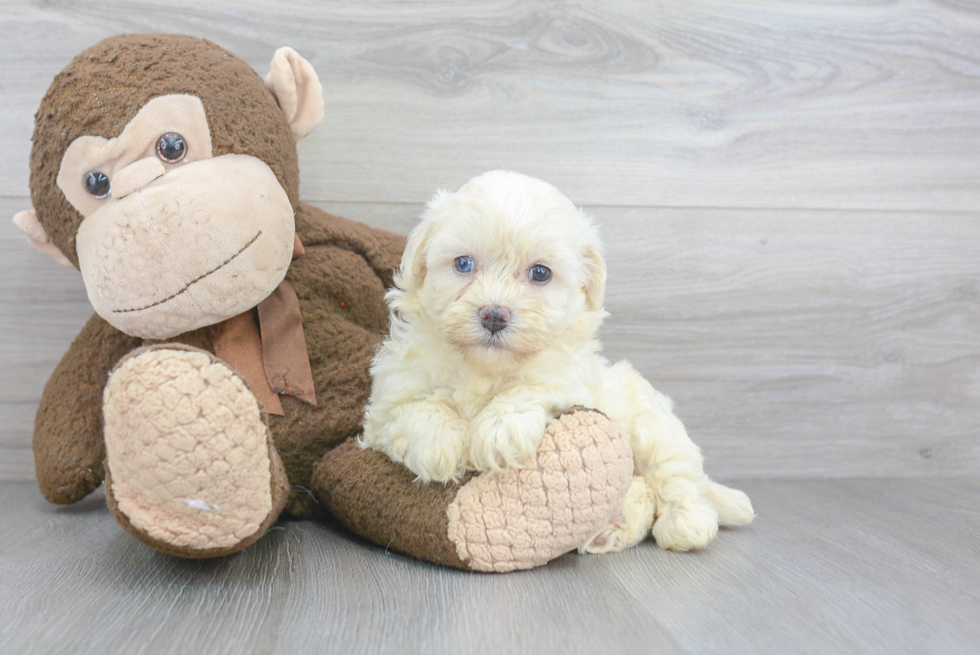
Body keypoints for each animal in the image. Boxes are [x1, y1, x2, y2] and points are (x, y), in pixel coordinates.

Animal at [364, 170, 756, 552]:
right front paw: (439, 442)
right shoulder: (390, 395)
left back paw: (685, 524)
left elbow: (531, 387)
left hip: (654, 427)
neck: (486, 366)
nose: (494, 315)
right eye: (463, 263)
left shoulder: (566, 377)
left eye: (540, 273)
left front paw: (499, 431)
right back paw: (614, 525)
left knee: (677, 476)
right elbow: (415, 407)